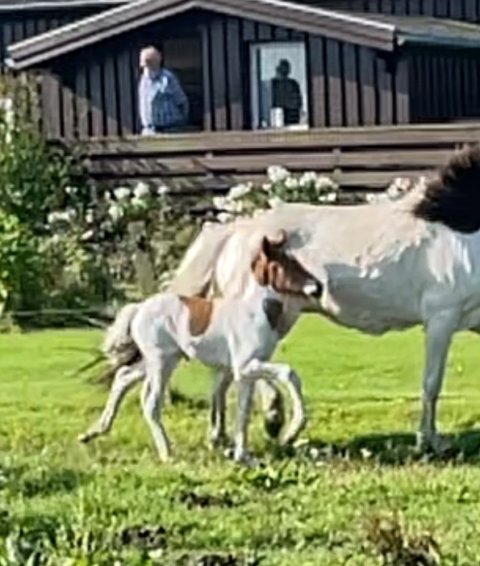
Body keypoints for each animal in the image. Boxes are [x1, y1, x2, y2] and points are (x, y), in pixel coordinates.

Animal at [78, 232, 322, 464]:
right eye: (283, 263)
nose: (318, 287)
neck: (254, 311)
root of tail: (139, 308)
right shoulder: (245, 366)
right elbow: (289, 373)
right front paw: (292, 431)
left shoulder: (247, 373)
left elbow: (243, 412)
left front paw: (243, 456)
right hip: (161, 362)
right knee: (150, 403)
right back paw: (167, 454)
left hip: (159, 360)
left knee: (122, 376)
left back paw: (92, 433)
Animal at [168, 144, 480, 454]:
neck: (463, 232)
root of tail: (235, 232)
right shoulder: (441, 319)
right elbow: (432, 383)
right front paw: (428, 441)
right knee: (239, 368)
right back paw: (273, 419)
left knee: (224, 374)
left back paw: (220, 435)